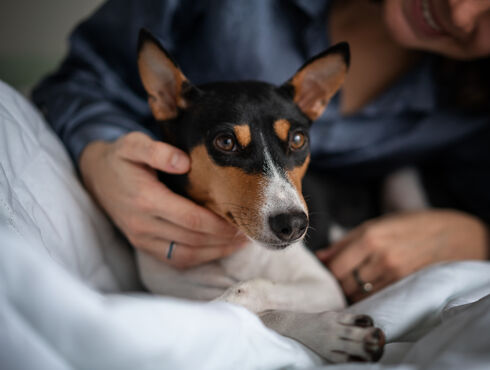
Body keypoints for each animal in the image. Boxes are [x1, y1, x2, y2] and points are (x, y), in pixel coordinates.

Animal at [136, 29, 384, 364]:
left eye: (298, 139)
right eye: (225, 142)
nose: (293, 225)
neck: (235, 254)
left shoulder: (324, 284)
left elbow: (253, 291)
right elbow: (259, 312)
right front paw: (335, 333)